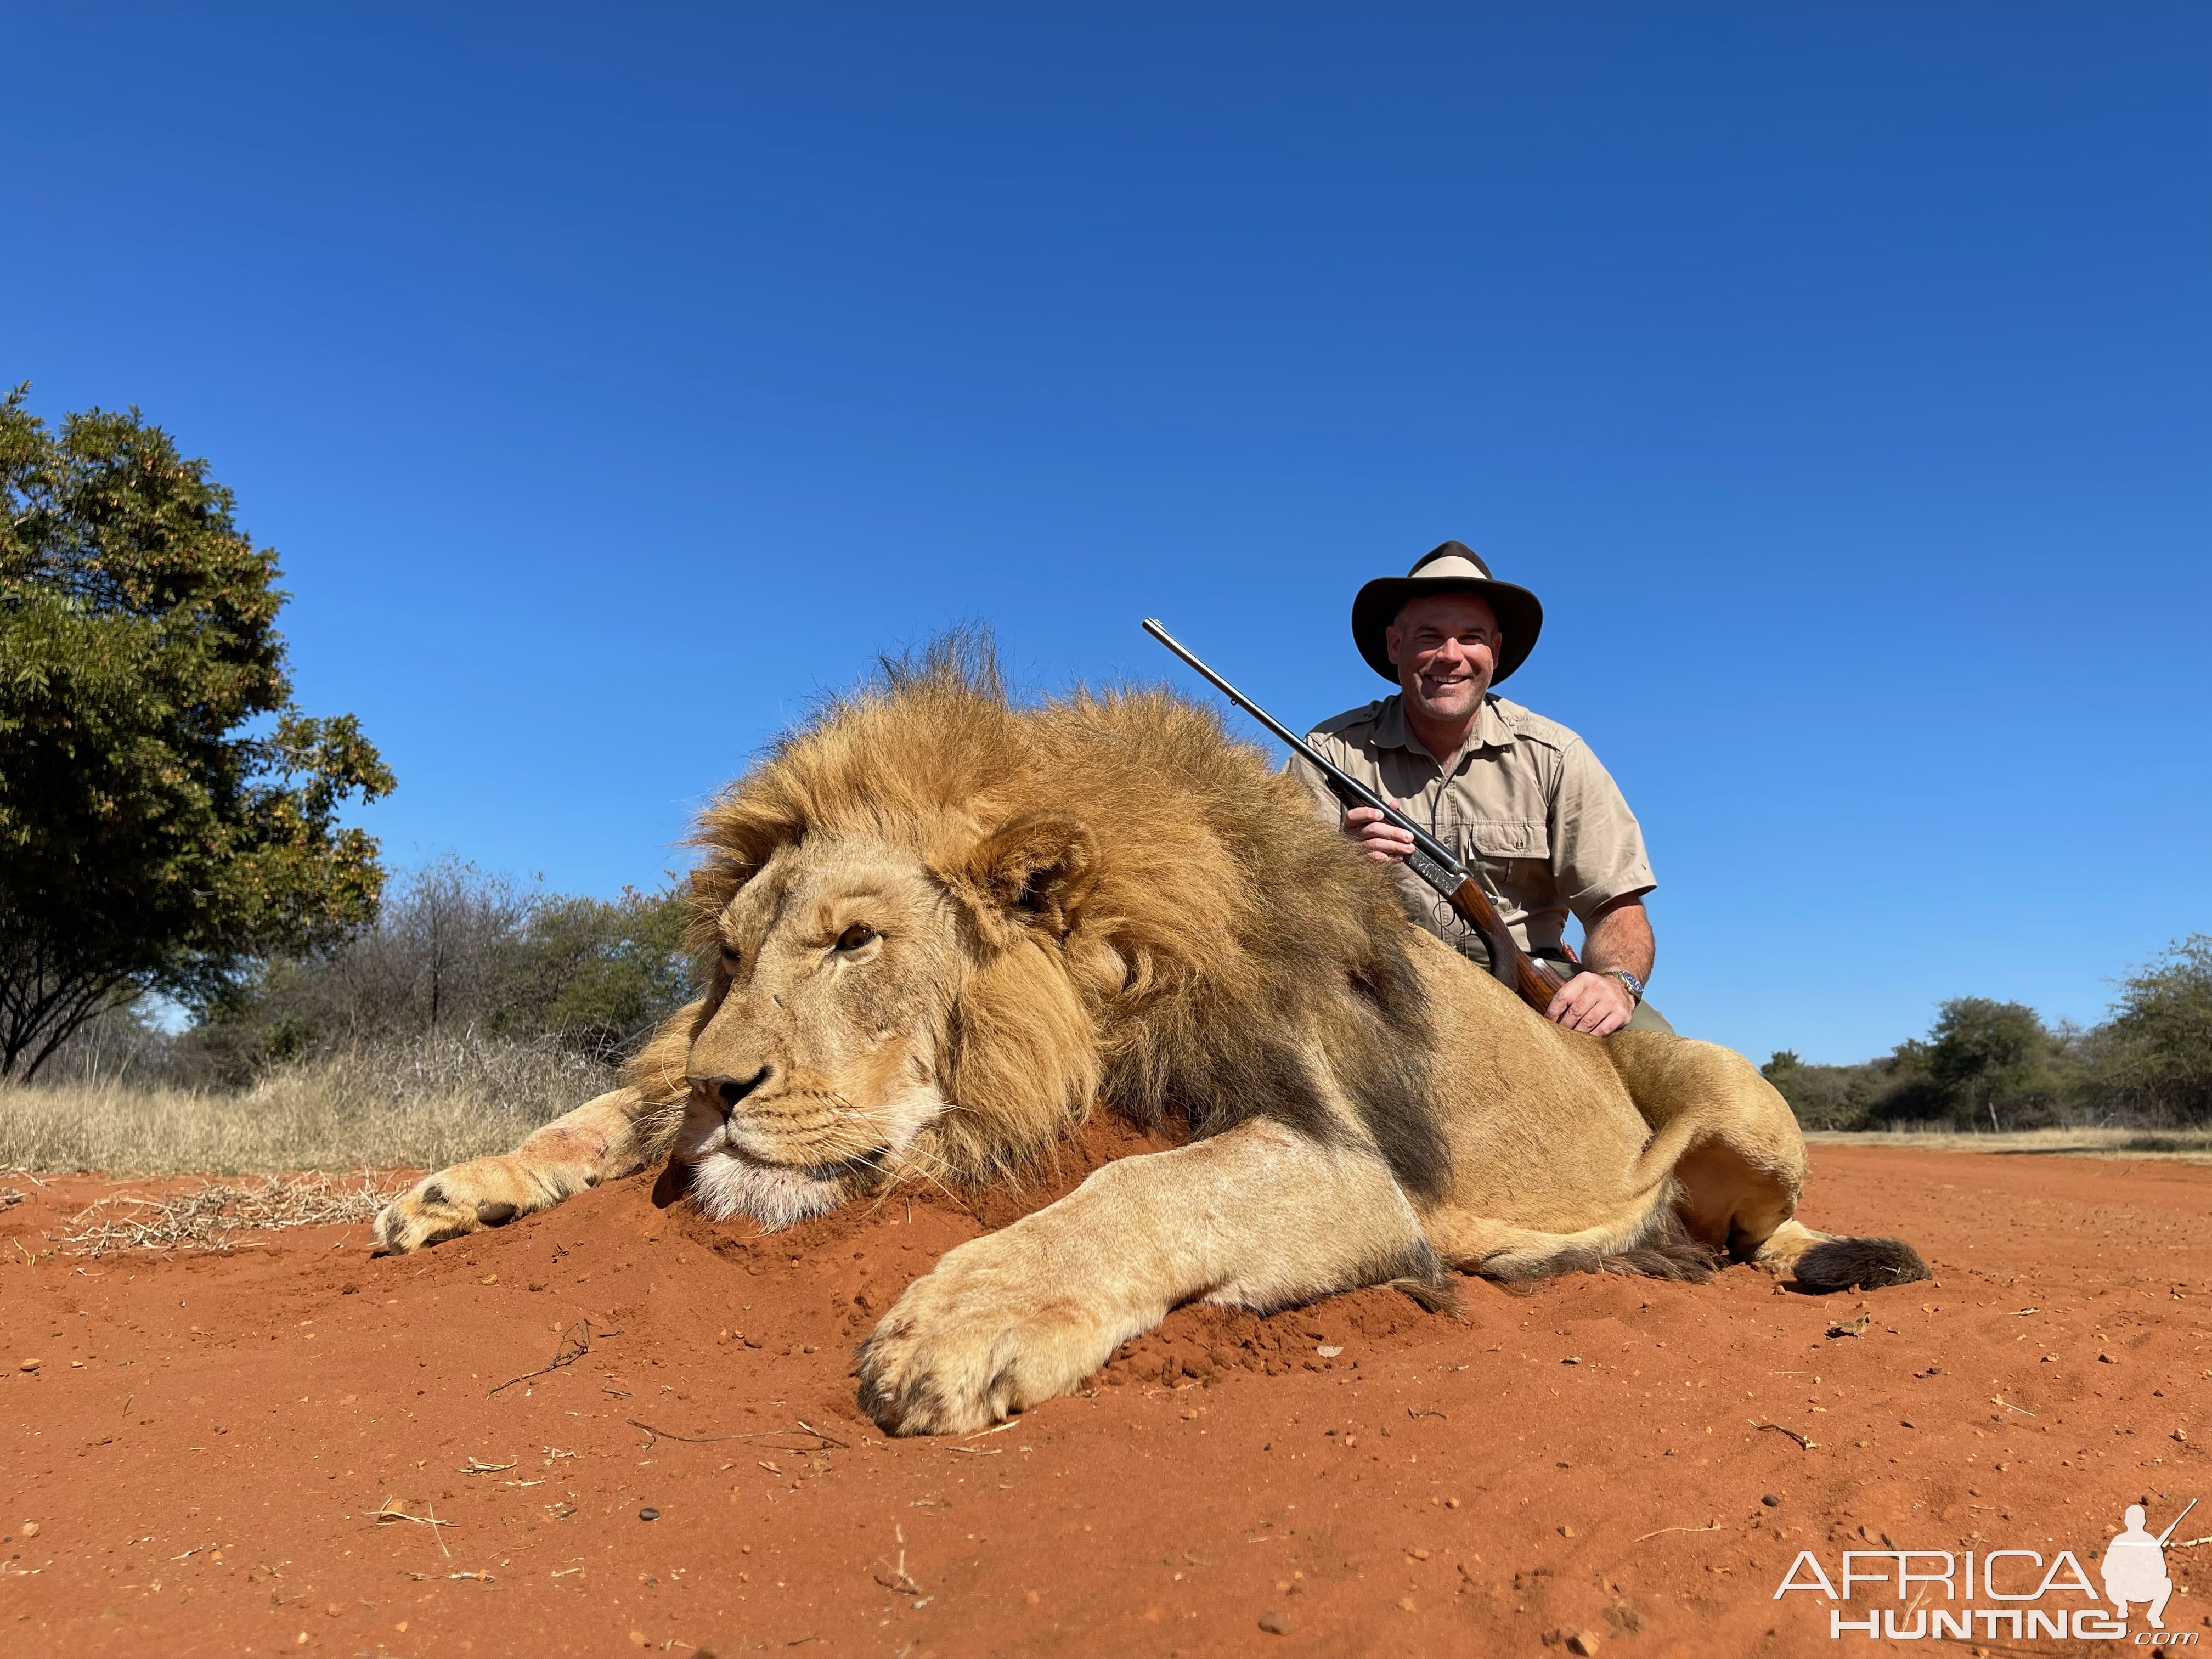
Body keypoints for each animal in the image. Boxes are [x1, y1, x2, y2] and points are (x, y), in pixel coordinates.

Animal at [371, 641, 1928, 1433]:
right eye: (730, 952)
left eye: (857, 941)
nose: (720, 1083)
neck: (1116, 975)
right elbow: (598, 1116)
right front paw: (453, 1186)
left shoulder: (1347, 1162)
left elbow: (1137, 1184)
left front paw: (959, 1321)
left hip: (1732, 1091)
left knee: (1751, 1224)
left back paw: (1793, 1253)